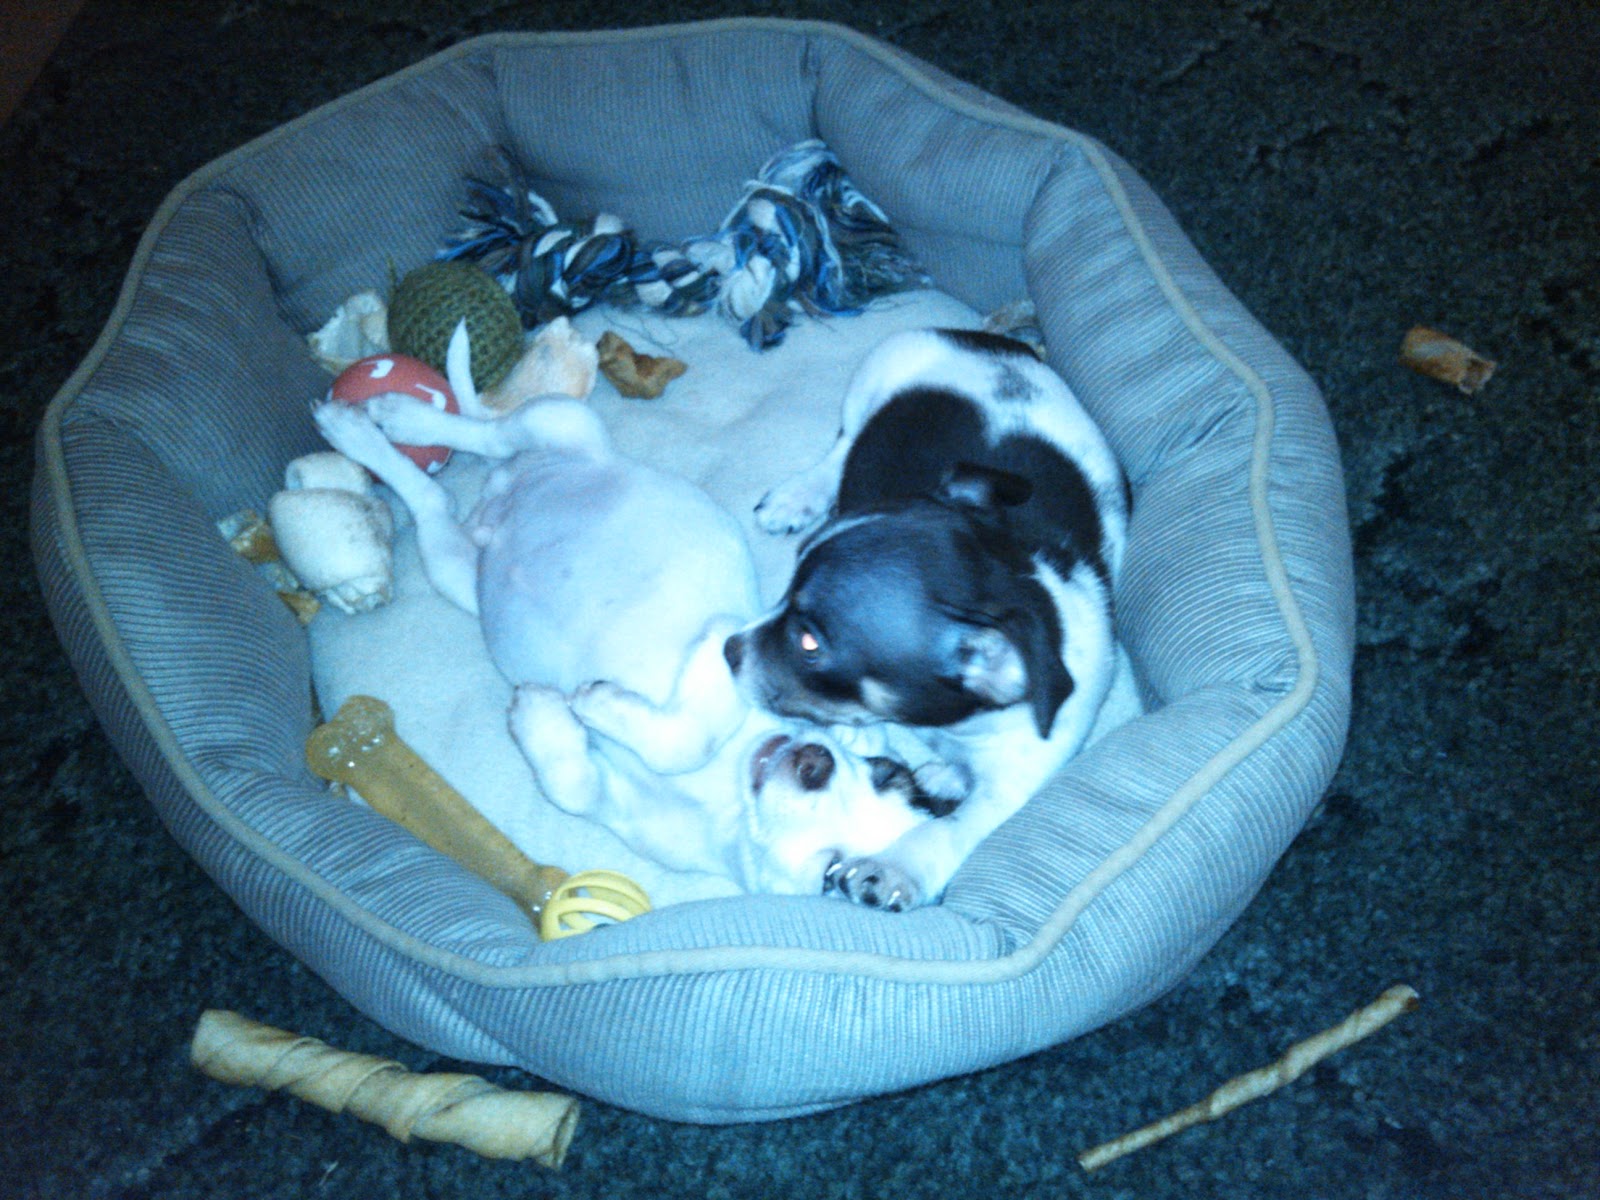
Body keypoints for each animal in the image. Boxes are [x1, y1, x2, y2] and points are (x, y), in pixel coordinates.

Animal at [312, 328, 943, 897]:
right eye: (881, 771)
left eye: (838, 875)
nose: (816, 761)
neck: (729, 789)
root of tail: (503, 495)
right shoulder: (733, 645)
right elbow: (693, 731)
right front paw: (595, 701)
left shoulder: (607, 799)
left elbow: (575, 781)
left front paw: (544, 712)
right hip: (560, 420)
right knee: (485, 434)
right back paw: (386, 419)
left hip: (453, 566)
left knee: (430, 500)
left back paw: (375, 439)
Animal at [724, 327, 1128, 910]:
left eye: (808, 643)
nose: (728, 650)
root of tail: (995, 344)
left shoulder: (1016, 786)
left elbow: (952, 828)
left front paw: (897, 865)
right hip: (874, 379)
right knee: (842, 445)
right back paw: (799, 495)